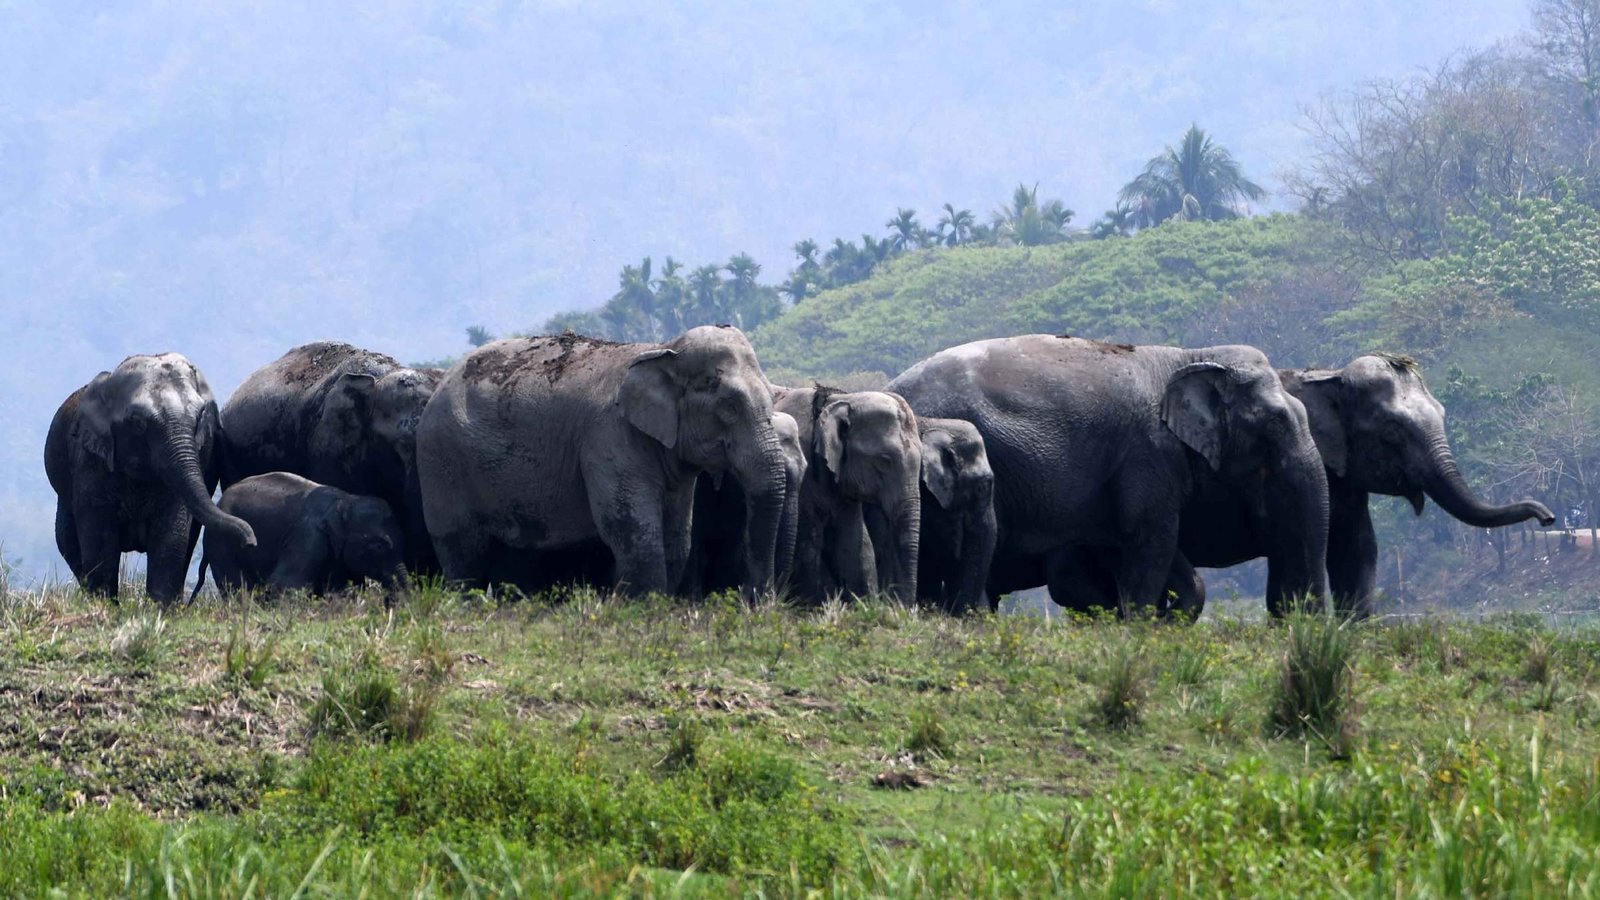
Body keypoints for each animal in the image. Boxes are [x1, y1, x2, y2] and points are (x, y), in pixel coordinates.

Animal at [44, 353, 257, 604]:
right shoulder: (90, 463)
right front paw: (106, 606)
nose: (250, 541)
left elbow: (171, 536)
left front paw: (162, 608)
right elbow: (100, 540)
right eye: (137, 421)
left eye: (199, 416)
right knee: (67, 541)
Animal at [416, 327, 788, 597]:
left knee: (512, 553)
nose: (755, 601)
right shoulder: (607, 439)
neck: (663, 350)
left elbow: (677, 533)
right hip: (442, 462)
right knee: (462, 550)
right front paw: (645, 608)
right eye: (728, 406)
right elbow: (630, 526)